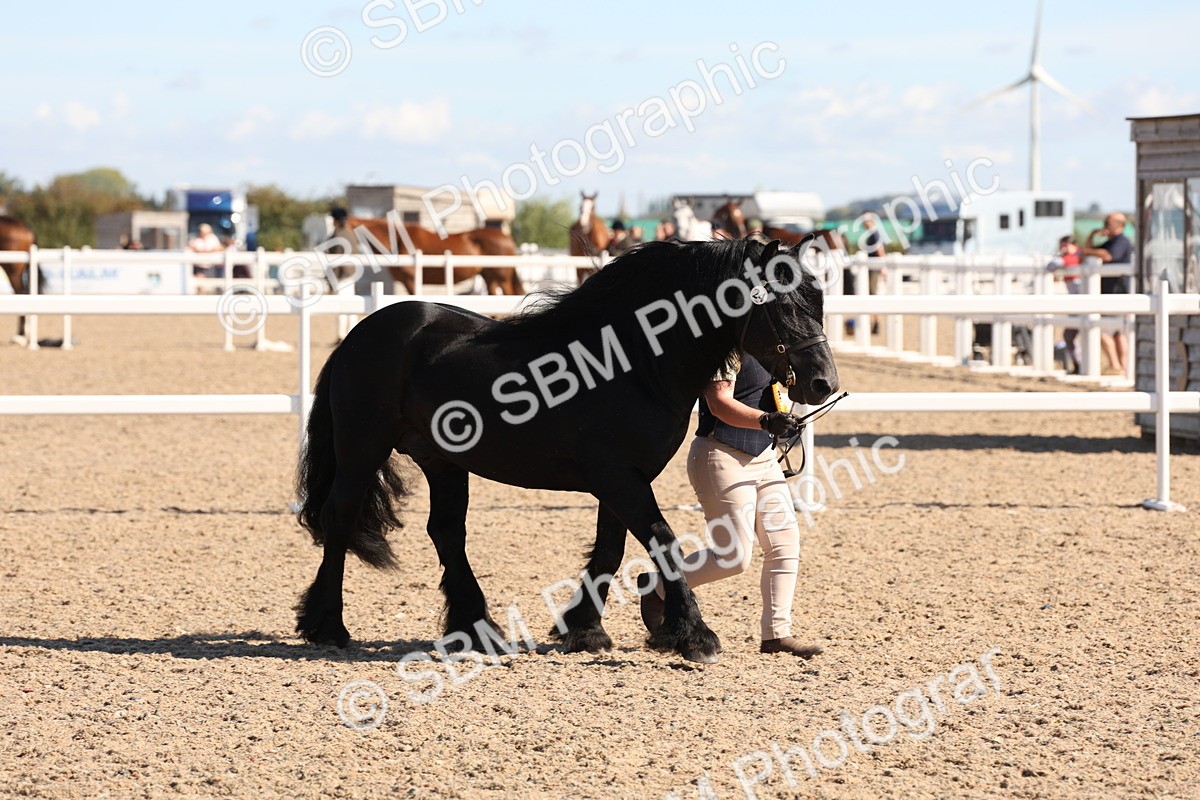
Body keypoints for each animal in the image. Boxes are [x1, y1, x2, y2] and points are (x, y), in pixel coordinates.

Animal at [293, 235, 839, 664]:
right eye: (783, 305)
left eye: (817, 299)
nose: (823, 383)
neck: (629, 363)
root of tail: (361, 334)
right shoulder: (618, 477)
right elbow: (661, 541)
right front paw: (695, 636)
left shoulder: (624, 479)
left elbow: (611, 550)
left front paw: (585, 629)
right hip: (362, 449)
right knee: (340, 518)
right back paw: (327, 627)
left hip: (442, 461)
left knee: (446, 533)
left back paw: (478, 631)